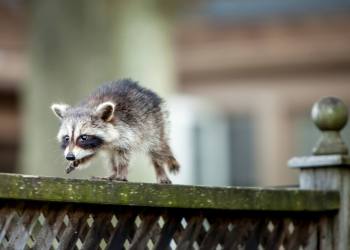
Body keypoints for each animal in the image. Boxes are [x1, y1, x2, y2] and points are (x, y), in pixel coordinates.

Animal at [51, 79, 180, 185]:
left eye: (83, 137)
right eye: (67, 138)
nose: (70, 156)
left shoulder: (127, 131)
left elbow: (124, 153)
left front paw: (121, 172)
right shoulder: (95, 145)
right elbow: (91, 154)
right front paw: (79, 160)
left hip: (155, 124)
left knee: (157, 149)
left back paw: (160, 170)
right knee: (111, 157)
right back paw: (113, 172)